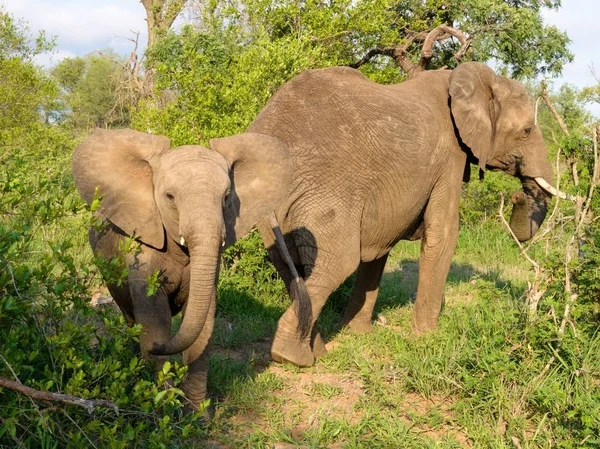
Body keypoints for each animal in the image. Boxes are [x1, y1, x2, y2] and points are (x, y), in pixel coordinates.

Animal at [71, 127, 296, 410]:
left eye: (226, 197)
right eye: (169, 197)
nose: (156, 347)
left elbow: (204, 320)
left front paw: (196, 414)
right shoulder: (140, 251)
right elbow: (155, 319)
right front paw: (164, 408)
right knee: (130, 316)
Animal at [250, 60, 568, 368]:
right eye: (526, 131)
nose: (516, 195)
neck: (473, 77)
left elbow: (378, 247)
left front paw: (359, 334)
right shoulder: (450, 157)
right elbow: (443, 234)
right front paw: (427, 339)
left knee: (290, 270)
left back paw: (317, 352)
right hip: (326, 190)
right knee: (336, 264)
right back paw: (294, 358)